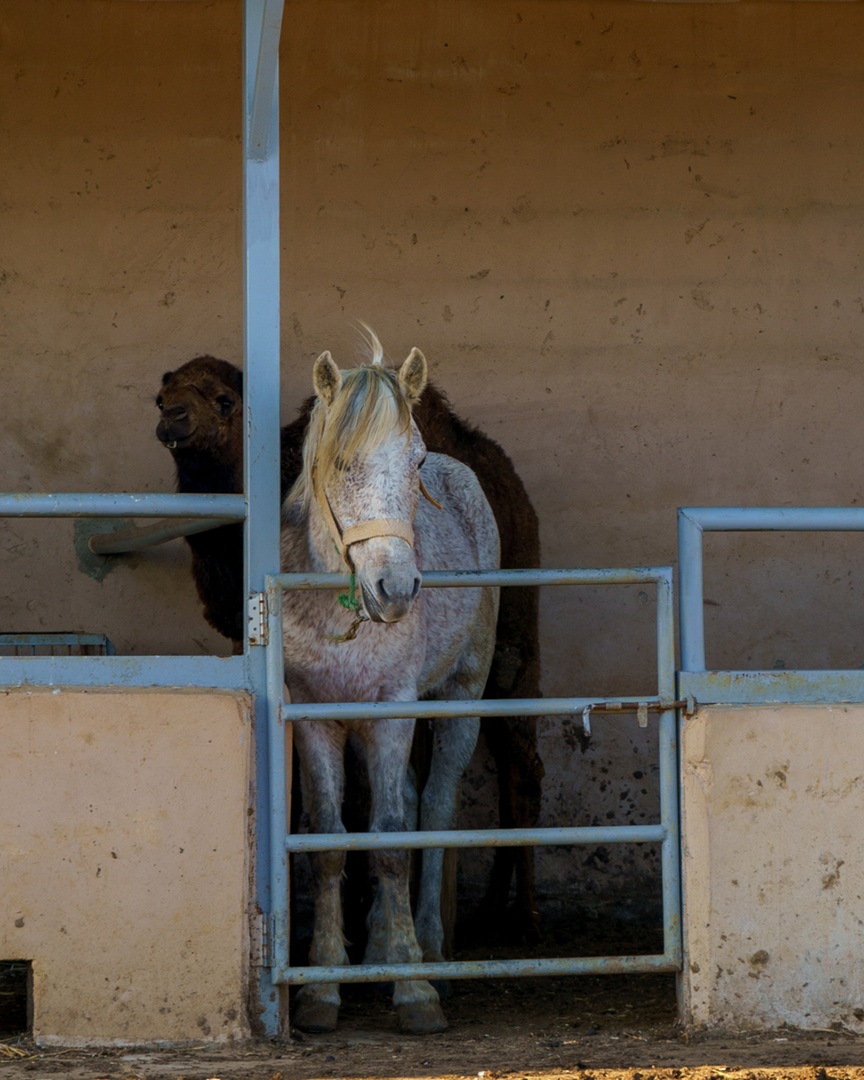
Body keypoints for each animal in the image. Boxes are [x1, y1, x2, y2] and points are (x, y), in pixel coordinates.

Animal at [280, 338, 500, 1034]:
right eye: (342, 462)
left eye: (417, 460)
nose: (396, 590)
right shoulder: (315, 716)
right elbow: (329, 841)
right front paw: (323, 987)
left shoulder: (396, 710)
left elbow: (394, 842)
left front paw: (413, 986)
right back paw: (377, 941)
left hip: (461, 698)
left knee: (432, 806)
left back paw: (426, 945)